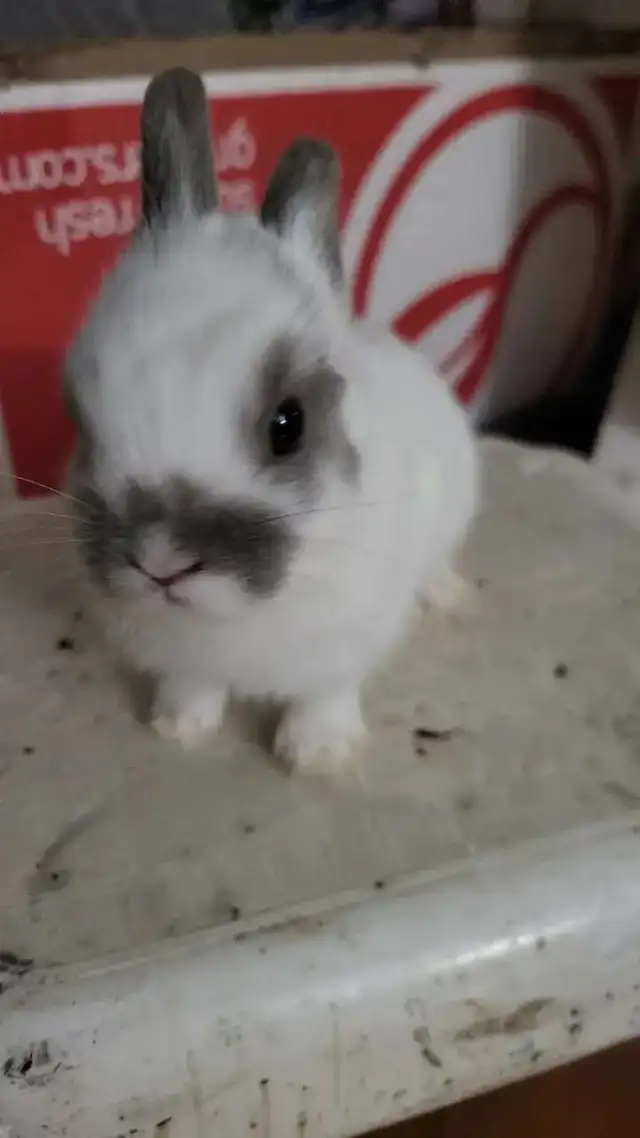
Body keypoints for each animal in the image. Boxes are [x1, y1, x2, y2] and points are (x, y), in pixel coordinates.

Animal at [64, 67, 479, 774]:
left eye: (289, 425)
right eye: (82, 419)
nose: (161, 560)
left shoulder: (344, 643)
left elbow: (323, 693)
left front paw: (317, 755)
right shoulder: (184, 658)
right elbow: (194, 686)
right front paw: (178, 727)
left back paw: (448, 596)